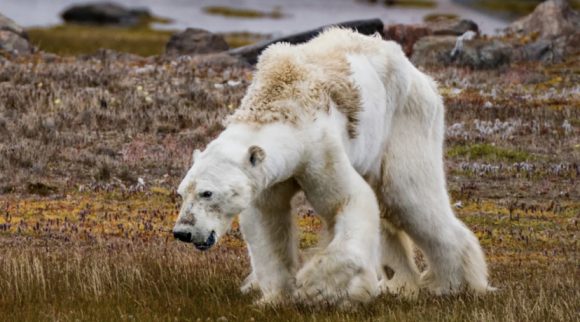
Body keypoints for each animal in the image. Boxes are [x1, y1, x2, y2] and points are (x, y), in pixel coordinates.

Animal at [172, 28, 494, 306]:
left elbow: (349, 201)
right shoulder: (268, 177)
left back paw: (452, 284)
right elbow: (266, 220)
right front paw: (273, 297)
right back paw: (399, 284)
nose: (182, 232)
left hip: (405, 121)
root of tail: (422, 77)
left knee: (408, 197)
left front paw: (316, 286)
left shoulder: (319, 149)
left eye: (207, 193)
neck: (281, 102)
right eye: (182, 193)